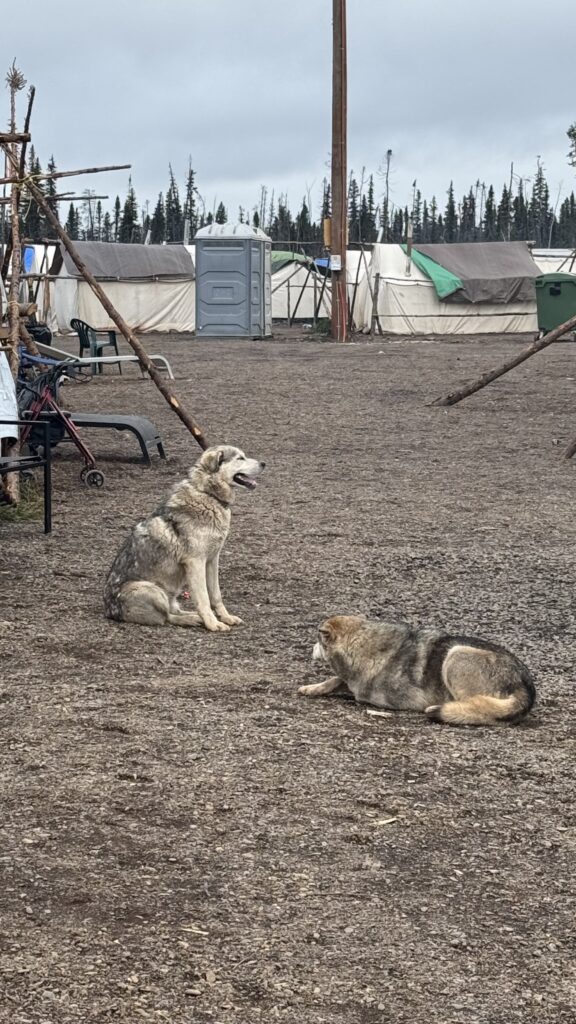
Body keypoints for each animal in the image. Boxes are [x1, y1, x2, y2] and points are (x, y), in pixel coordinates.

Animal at [103, 448, 262, 630]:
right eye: (240, 458)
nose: (264, 463)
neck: (207, 494)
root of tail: (109, 611)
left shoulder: (212, 560)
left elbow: (216, 596)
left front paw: (225, 617)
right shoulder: (196, 562)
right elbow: (204, 599)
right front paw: (213, 624)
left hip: (169, 593)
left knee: (174, 611)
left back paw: (194, 616)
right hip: (153, 591)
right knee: (166, 618)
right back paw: (193, 619)